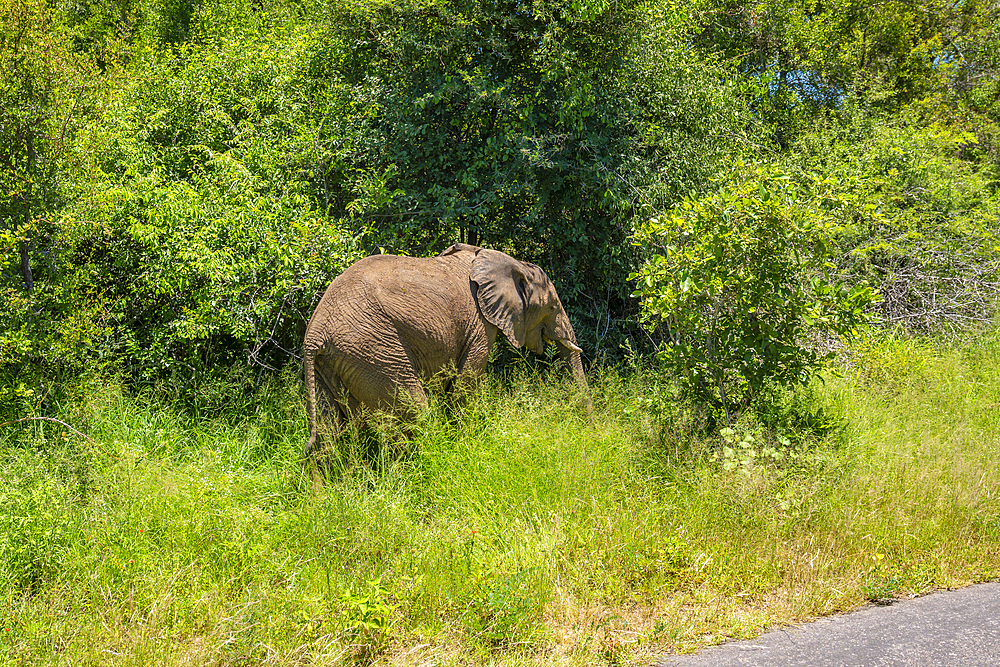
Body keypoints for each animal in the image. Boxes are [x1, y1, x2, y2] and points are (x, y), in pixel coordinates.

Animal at [300, 243, 588, 468]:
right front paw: (466, 446)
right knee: (415, 412)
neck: (506, 261)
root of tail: (315, 334)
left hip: (331, 364)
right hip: (373, 352)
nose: (589, 428)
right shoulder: (479, 326)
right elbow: (463, 391)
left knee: (327, 432)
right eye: (552, 307)